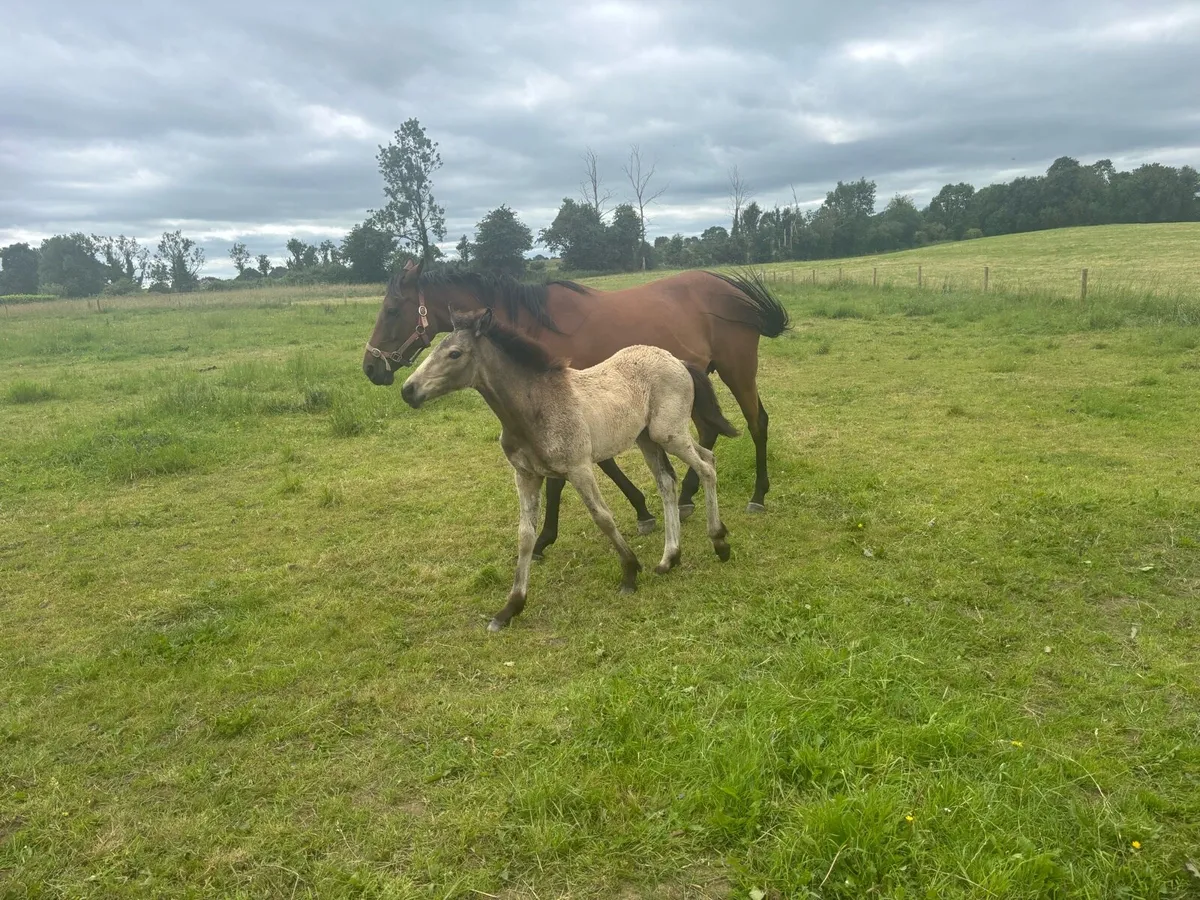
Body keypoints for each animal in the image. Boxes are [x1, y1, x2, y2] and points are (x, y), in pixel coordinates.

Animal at [363, 259, 789, 558]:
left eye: (392, 309)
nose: (370, 368)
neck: (537, 325)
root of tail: (733, 291)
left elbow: (564, 480)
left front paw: (544, 539)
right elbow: (606, 463)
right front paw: (643, 511)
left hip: (737, 369)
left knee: (757, 423)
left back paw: (757, 495)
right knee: (709, 432)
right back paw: (685, 497)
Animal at [400, 307, 738, 631]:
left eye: (454, 354)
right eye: (434, 348)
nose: (408, 390)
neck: (534, 407)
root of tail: (676, 359)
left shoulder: (579, 468)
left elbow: (603, 518)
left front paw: (630, 573)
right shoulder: (526, 476)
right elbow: (525, 535)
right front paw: (510, 608)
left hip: (668, 434)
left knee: (706, 465)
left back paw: (719, 542)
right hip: (648, 439)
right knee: (669, 480)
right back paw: (669, 558)